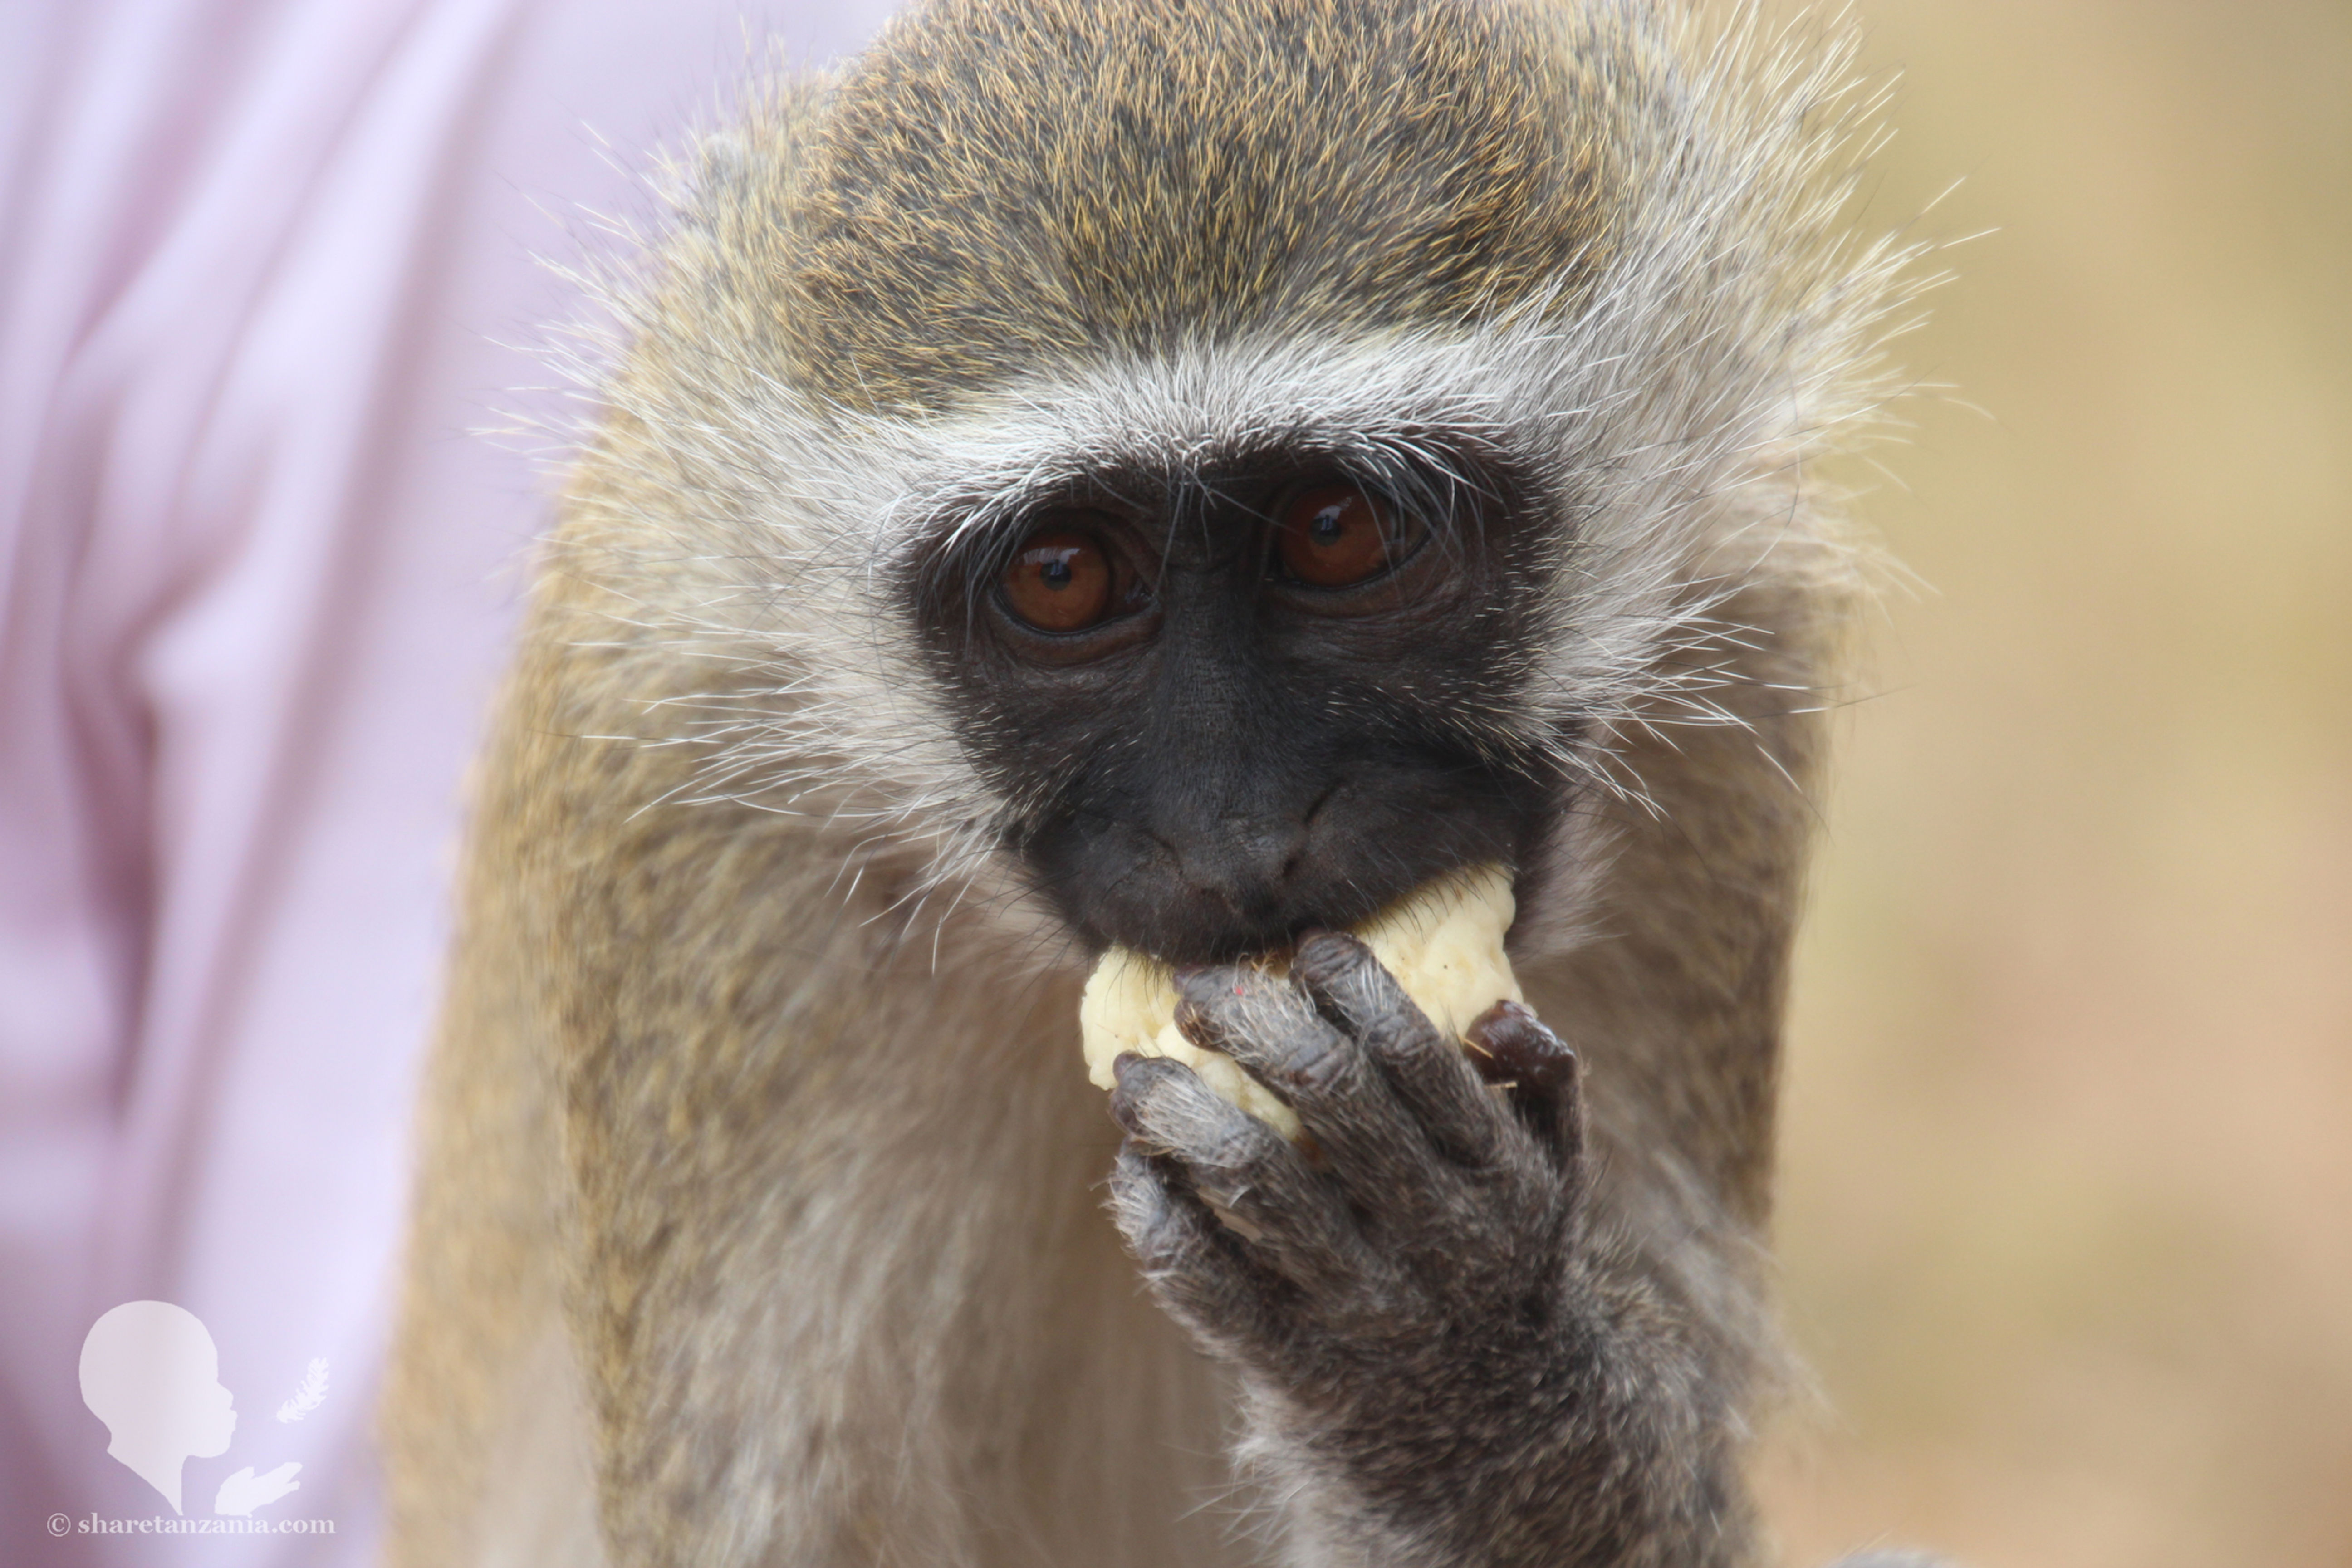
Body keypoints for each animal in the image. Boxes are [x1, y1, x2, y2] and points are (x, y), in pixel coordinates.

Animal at [378, 0, 1936, 1564]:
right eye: (1062, 577)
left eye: (1339, 529)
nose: (1242, 842)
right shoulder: (684, 815)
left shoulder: (1736, 658)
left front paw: (1465, 1373)